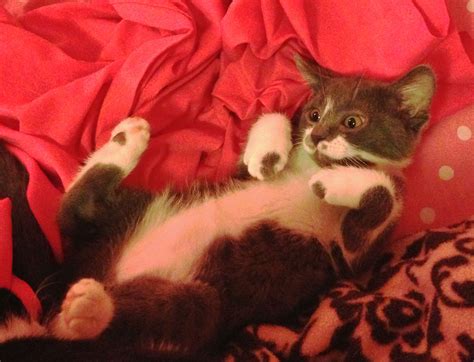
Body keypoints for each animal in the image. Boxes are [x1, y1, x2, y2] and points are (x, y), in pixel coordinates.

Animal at [0, 56, 436, 360]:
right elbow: (270, 125)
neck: (313, 164)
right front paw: (268, 151)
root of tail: (80, 276)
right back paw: (127, 141)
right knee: (73, 210)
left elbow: (384, 195)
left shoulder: (351, 254)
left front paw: (336, 182)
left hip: (207, 306)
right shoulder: (239, 174)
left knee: (136, 317)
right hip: (141, 208)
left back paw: (86, 309)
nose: (316, 136)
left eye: (353, 122)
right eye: (314, 114)